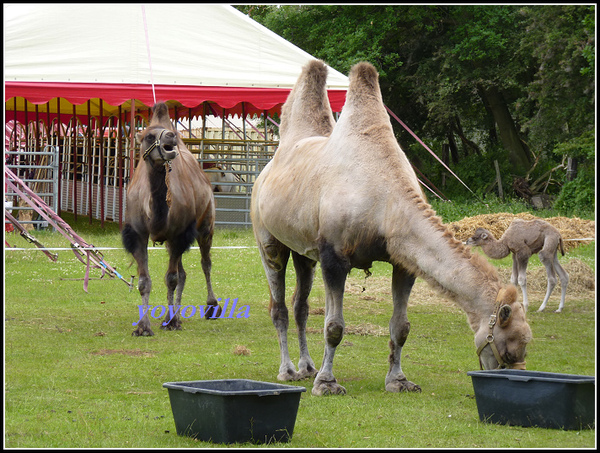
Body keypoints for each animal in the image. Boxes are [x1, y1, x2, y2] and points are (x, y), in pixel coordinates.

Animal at [123, 102, 221, 336]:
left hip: (206, 224)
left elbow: (171, 279)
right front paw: (143, 327)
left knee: (205, 262)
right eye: (149, 136)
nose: (170, 136)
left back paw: (211, 306)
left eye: (172, 134)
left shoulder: (180, 233)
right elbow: (144, 281)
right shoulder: (138, 234)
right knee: (183, 271)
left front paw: (171, 321)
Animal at [251, 61, 532, 396]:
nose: (514, 376)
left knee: (300, 305)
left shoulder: (403, 261)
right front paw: (327, 384)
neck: (385, 201)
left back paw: (308, 367)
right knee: (279, 304)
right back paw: (289, 371)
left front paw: (398, 380)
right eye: (509, 349)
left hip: (304, 251)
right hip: (266, 236)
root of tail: (266, 170)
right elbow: (334, 326)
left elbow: (401, 326)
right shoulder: (334, 257)